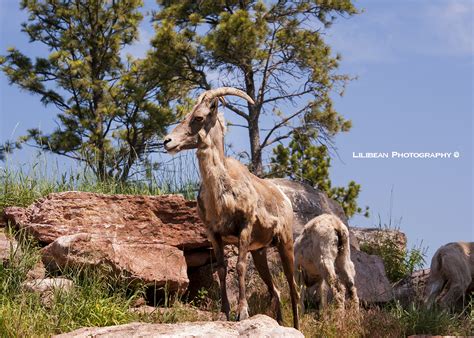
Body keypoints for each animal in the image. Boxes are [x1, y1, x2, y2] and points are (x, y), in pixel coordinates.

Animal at [161, 88, 298, 330]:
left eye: (199, 117)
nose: (167, 142)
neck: (221, 195)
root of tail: (284, 198)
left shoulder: (244, 228)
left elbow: (240, 267)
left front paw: (242, 312)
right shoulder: (214, 234)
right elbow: (222, 270)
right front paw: (224, 313)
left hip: (285, 243)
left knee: (294, 289)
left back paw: (297, 327)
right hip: (260, 252)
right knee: (276, 290)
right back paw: (280, 323)